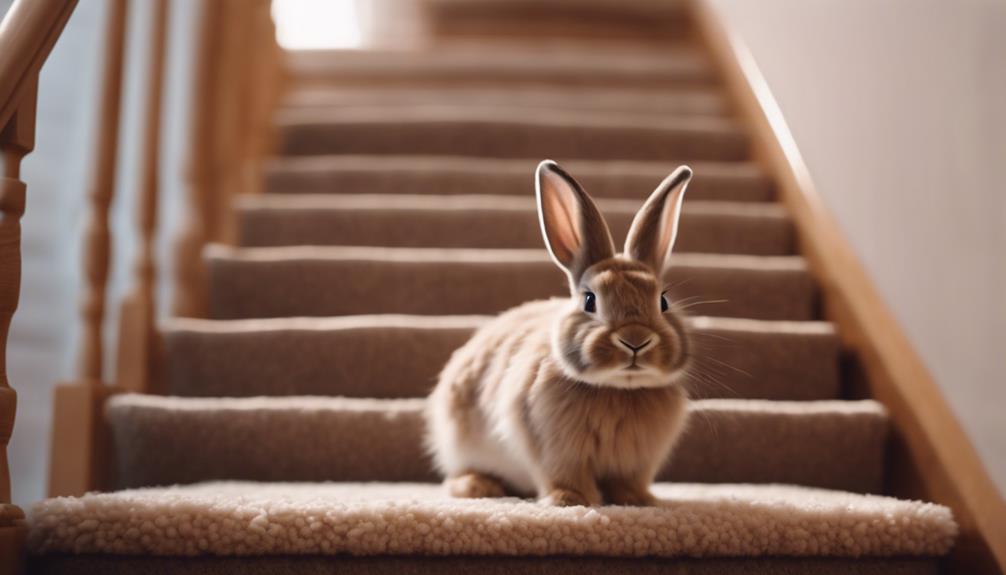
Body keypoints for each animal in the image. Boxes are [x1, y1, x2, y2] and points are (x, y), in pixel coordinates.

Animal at [425, 159, 694, 507]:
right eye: (590, 300)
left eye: (663, 301)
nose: (635, 340)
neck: (618, 389)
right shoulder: (554, 449)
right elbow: (565, 476)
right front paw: (571, 501)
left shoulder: (635, 462)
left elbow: (627, 482)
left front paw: (638, 501)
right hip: (460, 442)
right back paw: (479, 487)